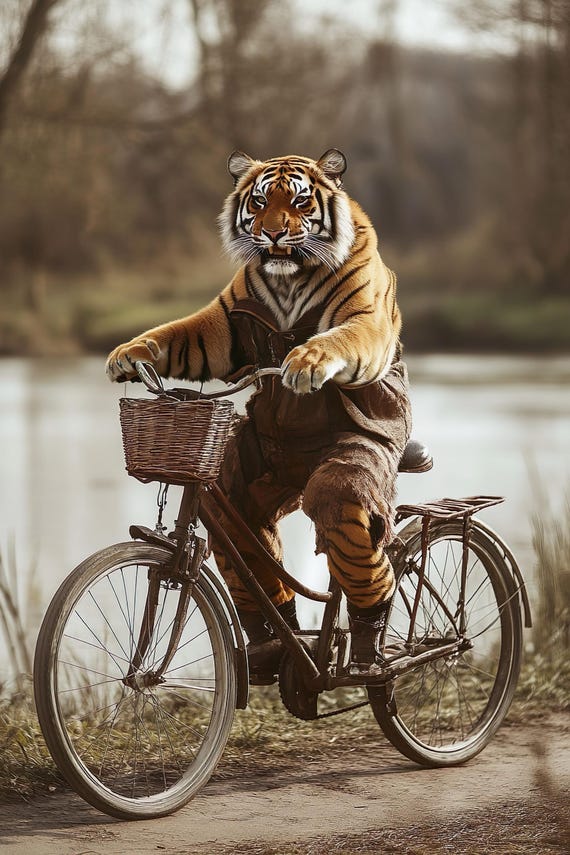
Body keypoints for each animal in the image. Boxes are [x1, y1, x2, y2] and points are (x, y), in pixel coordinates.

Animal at [106, 149, 412, 679]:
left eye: (300, 201)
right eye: (260, 201)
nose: (271, 234)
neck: (289, 277)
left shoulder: (365, 316)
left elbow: (341, 338)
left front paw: (307, 362)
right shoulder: (221, 326)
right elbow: (175, 333)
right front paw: (128, 353)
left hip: (357, 479)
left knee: (357, 533)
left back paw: (369, 651)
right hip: (250, 477)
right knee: (246, 532)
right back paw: (274, 642)